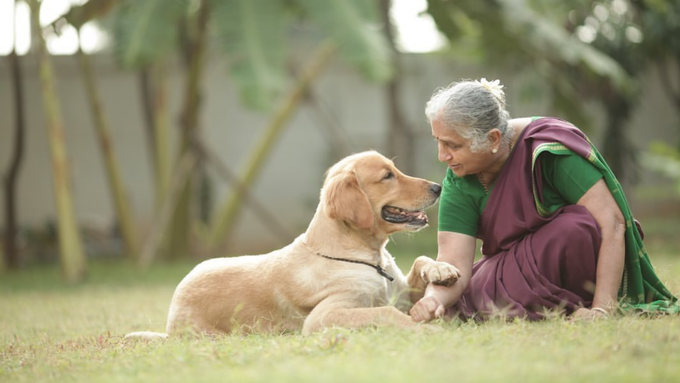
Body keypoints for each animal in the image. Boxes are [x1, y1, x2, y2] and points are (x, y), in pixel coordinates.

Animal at [125, 150, 460, 340]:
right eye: (388, 176)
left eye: (394, 169)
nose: (437, 187)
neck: (367, 258)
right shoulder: (322, 318)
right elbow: (385, 313)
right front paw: (424, 328)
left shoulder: (400, 293)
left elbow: (420, 260)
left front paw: (442, 269)